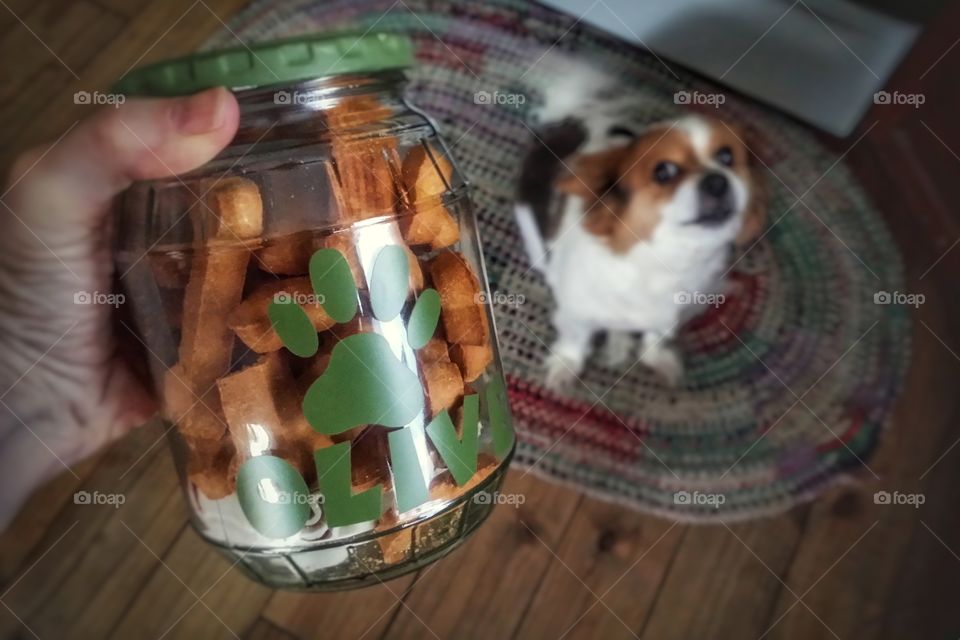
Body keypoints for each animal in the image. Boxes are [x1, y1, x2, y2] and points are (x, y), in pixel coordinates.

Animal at [512, 74, 768, 390]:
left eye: (726, 157)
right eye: (664, 171)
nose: (718, 181)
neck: (663, 260)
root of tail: (573, 118)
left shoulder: (669, 314)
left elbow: (655, 336)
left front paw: (656, 357)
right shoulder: (576, 314)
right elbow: (575, 340)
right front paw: (566, 365)